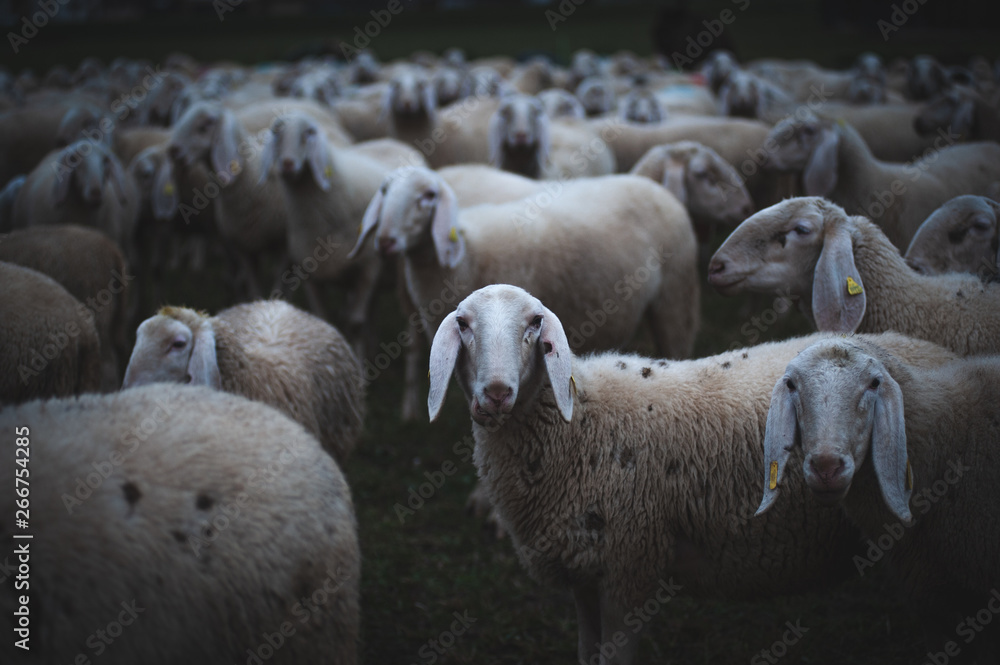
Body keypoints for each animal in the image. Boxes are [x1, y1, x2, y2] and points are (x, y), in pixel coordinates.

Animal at [350, 167, 699, 420]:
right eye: (384, 191)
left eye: (429, 195)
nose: (385, 242)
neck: (466, 256)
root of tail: (656, 187)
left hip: (676, 299)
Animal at [425, 283, 953, 665]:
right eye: (463, 324)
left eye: (535, 323)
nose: (496, 392)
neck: (577, 421)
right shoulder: (586, 571)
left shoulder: (630, 567)